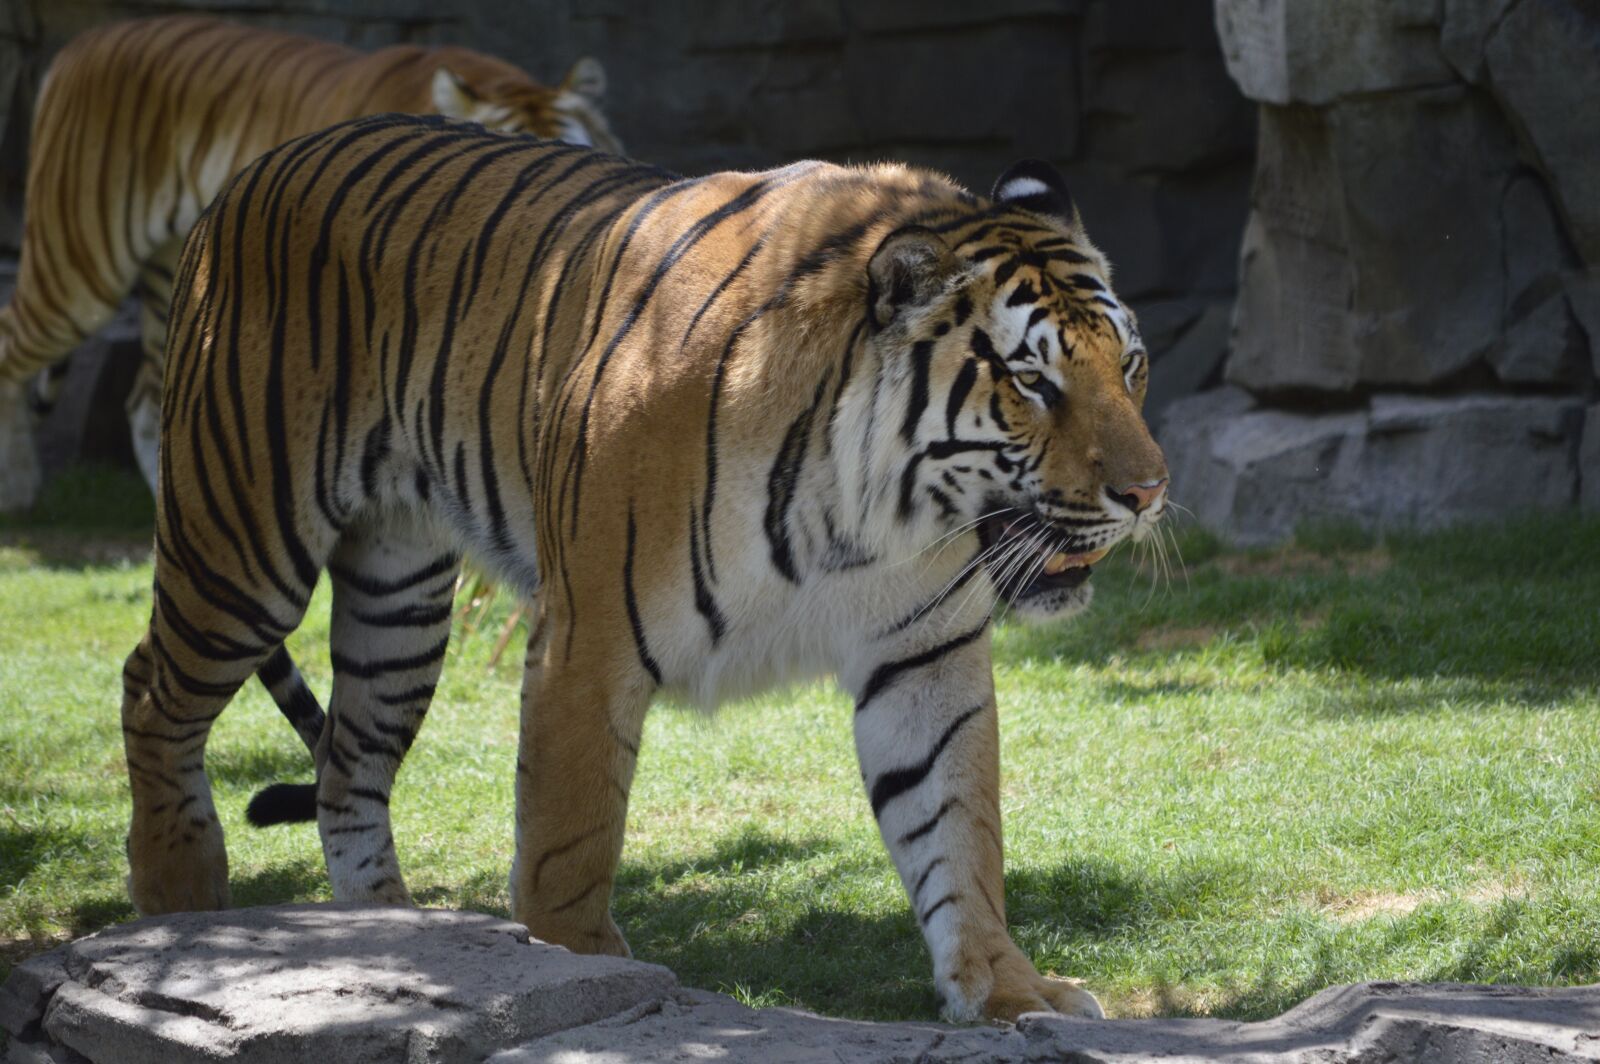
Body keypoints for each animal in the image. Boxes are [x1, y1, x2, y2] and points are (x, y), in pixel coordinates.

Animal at [118, 112, 1169, 1023]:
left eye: (1132, 367)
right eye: (1032, 382)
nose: (1149, 492)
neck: (874, 510)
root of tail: (259, 167)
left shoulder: (925, 656)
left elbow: (958, 828)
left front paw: (1009, 990)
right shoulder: (585, 643)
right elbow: (569, 834)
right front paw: (575, 973)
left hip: (397, 601)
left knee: (347, 767)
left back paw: (395, 943)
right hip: (243, 544)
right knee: (152, 690)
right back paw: (181, 896)